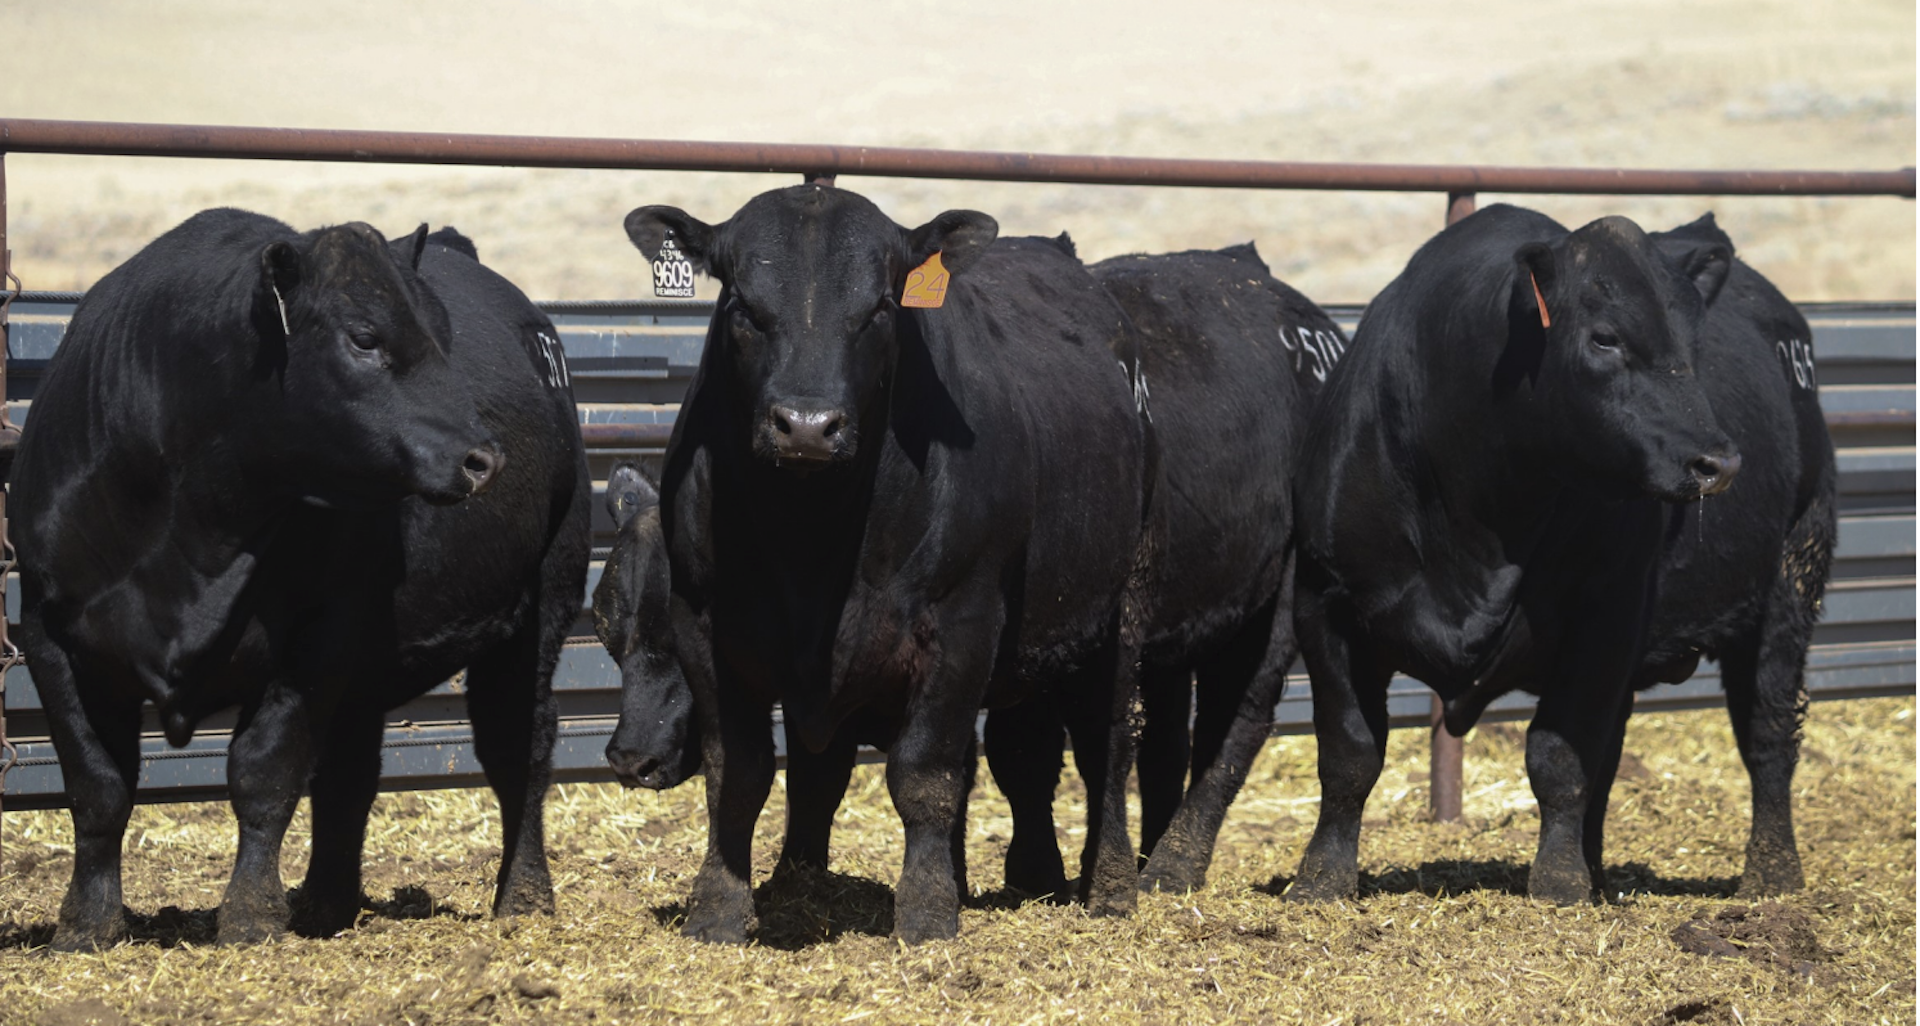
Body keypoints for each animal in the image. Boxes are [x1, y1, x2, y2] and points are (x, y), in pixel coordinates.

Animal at [13, 210, 592, 949]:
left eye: (441, 335)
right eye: (364, 336)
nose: (482, 457)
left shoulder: (321, 630)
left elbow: (263, 770)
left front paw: (251, 916)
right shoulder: (49, 632)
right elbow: (97, 785)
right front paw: (86, 924)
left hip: (541, 605)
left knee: (519, 745)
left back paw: (522, 897)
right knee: (350, 770)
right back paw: (325, 904)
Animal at [621, 184, 1151, 944]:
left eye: (879, 307)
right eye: (741, 305)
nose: (807, 426)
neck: (809, 539)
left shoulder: (963, 619)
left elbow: (924, 774)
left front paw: (926, 915)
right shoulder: (702, 619)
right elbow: (739, 772)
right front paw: (718, 909)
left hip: (1121, 607)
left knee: (1105, 748)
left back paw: (1109, 889)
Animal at [1286, 204, 1754, 905]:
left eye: (1692, 346)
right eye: (1605, 338)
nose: (1717, 462)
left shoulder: (1607, 614)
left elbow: (1561, 755)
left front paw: (1560, 880)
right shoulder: (1323, 599)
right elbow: (1349, 750)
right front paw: (1321, 876)